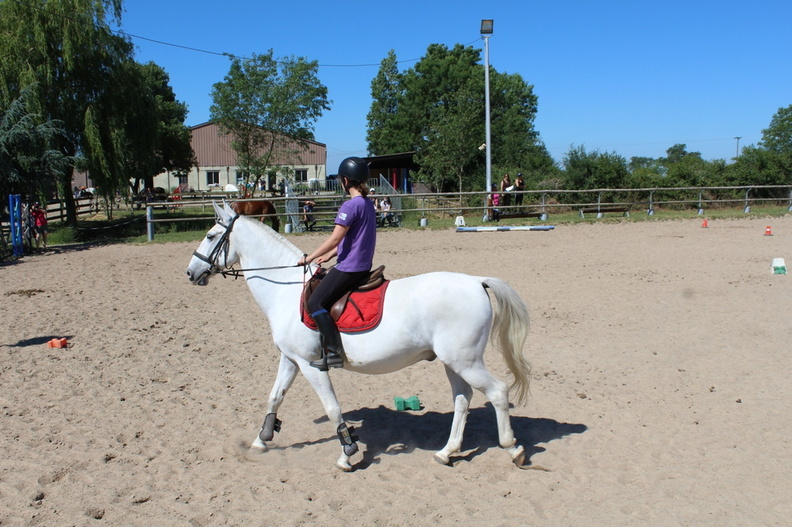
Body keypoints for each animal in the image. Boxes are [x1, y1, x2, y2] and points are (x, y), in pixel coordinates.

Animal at [186, 202, 532, 470]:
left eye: (211, 236)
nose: (191, 273)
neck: (286, 289)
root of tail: (476, 281)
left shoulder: (311, 366)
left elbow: (332, 408)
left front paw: (347, 454)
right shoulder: (291, 359)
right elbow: (275, 396)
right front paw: (262, 439)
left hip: (465, 360)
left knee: (497, 392)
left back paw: (513, 448)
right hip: (453, 361)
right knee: (462, 399)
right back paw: (447, 452)